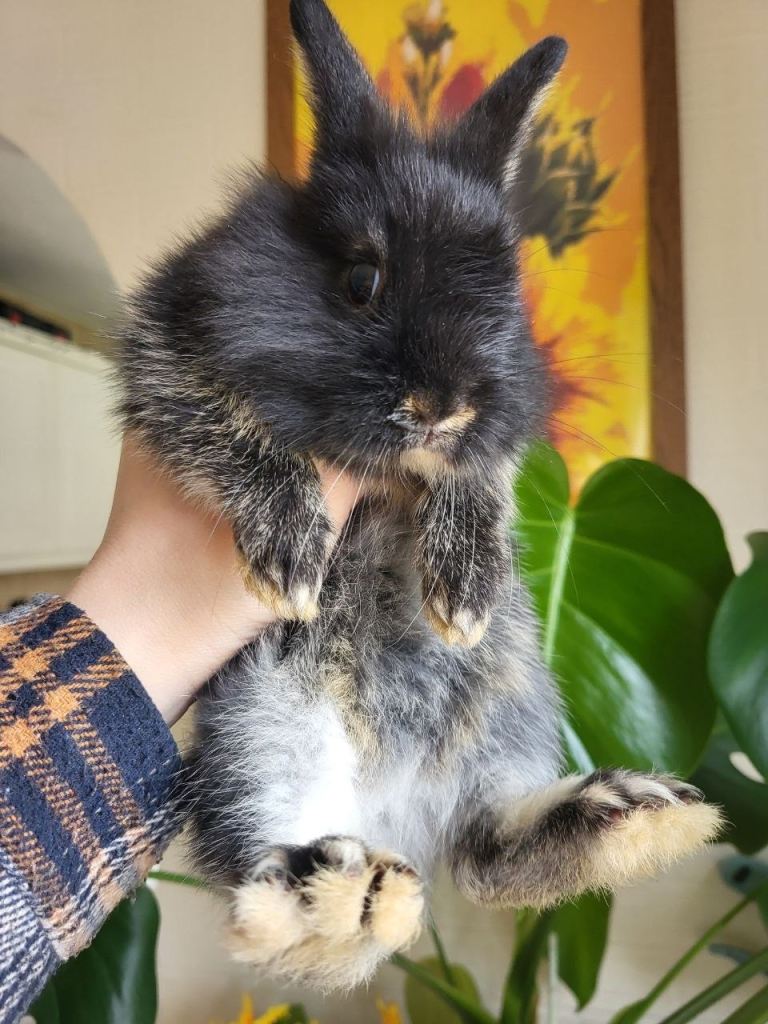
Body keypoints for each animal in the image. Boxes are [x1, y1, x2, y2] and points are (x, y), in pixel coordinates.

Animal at [117, 0, 721, 990]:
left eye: (503, 292)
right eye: (363, 279)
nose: (443, 405)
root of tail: (393, 816)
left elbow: (482, 471)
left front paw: (463, 580)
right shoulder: (171, 349)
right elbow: (224, 422)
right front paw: (293, 551)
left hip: (509, 701)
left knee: (482, 853)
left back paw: (628, 815)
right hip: (258, 721)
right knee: (273, 882)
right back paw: (334, 897)